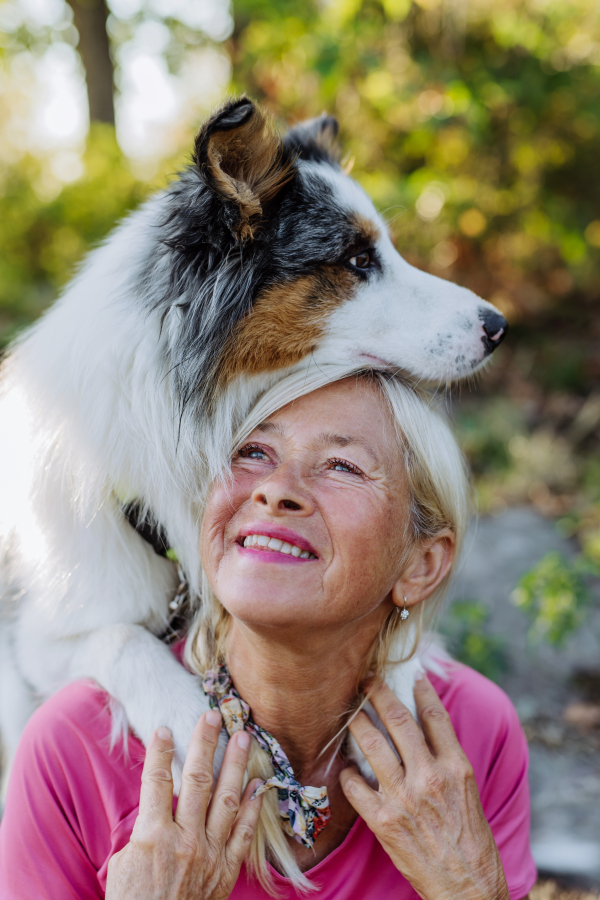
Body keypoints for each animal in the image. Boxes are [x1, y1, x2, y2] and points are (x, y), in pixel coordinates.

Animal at [0, 98, 506, 784]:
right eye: (357, 261)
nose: (498, 326)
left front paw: (394, 698)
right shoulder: (40, 635)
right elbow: (123, 638)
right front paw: (193, 725)